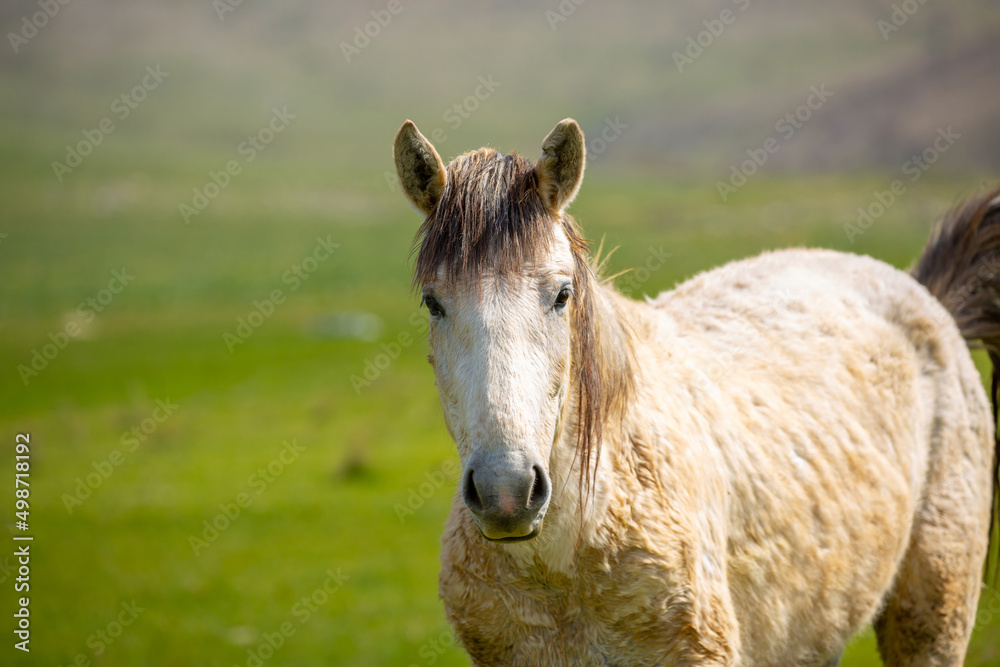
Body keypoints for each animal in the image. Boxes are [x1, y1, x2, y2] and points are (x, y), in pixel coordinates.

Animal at [390, 117, 1000, 664]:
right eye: (433, 303)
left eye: (562, 294)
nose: (507, 491)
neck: (570, 557)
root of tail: (923, 293)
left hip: (931, 615)